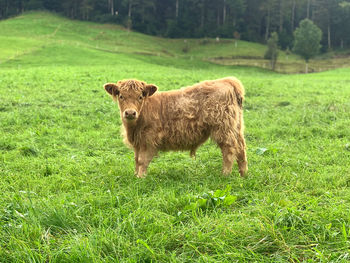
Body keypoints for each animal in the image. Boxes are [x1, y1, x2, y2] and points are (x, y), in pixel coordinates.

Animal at [102, 77, 247, 178]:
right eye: (121, 96)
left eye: (140, 96)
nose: (130, 113)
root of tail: (227, 80)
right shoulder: (138, 142)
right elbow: (136, 160)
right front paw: (136, 175)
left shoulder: (148, 140)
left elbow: (142, 161)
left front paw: (140, 178)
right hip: (236, 127)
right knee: (241, 148)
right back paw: (243, 174)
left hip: (223, 129)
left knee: (229, 150)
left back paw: (225, 175)